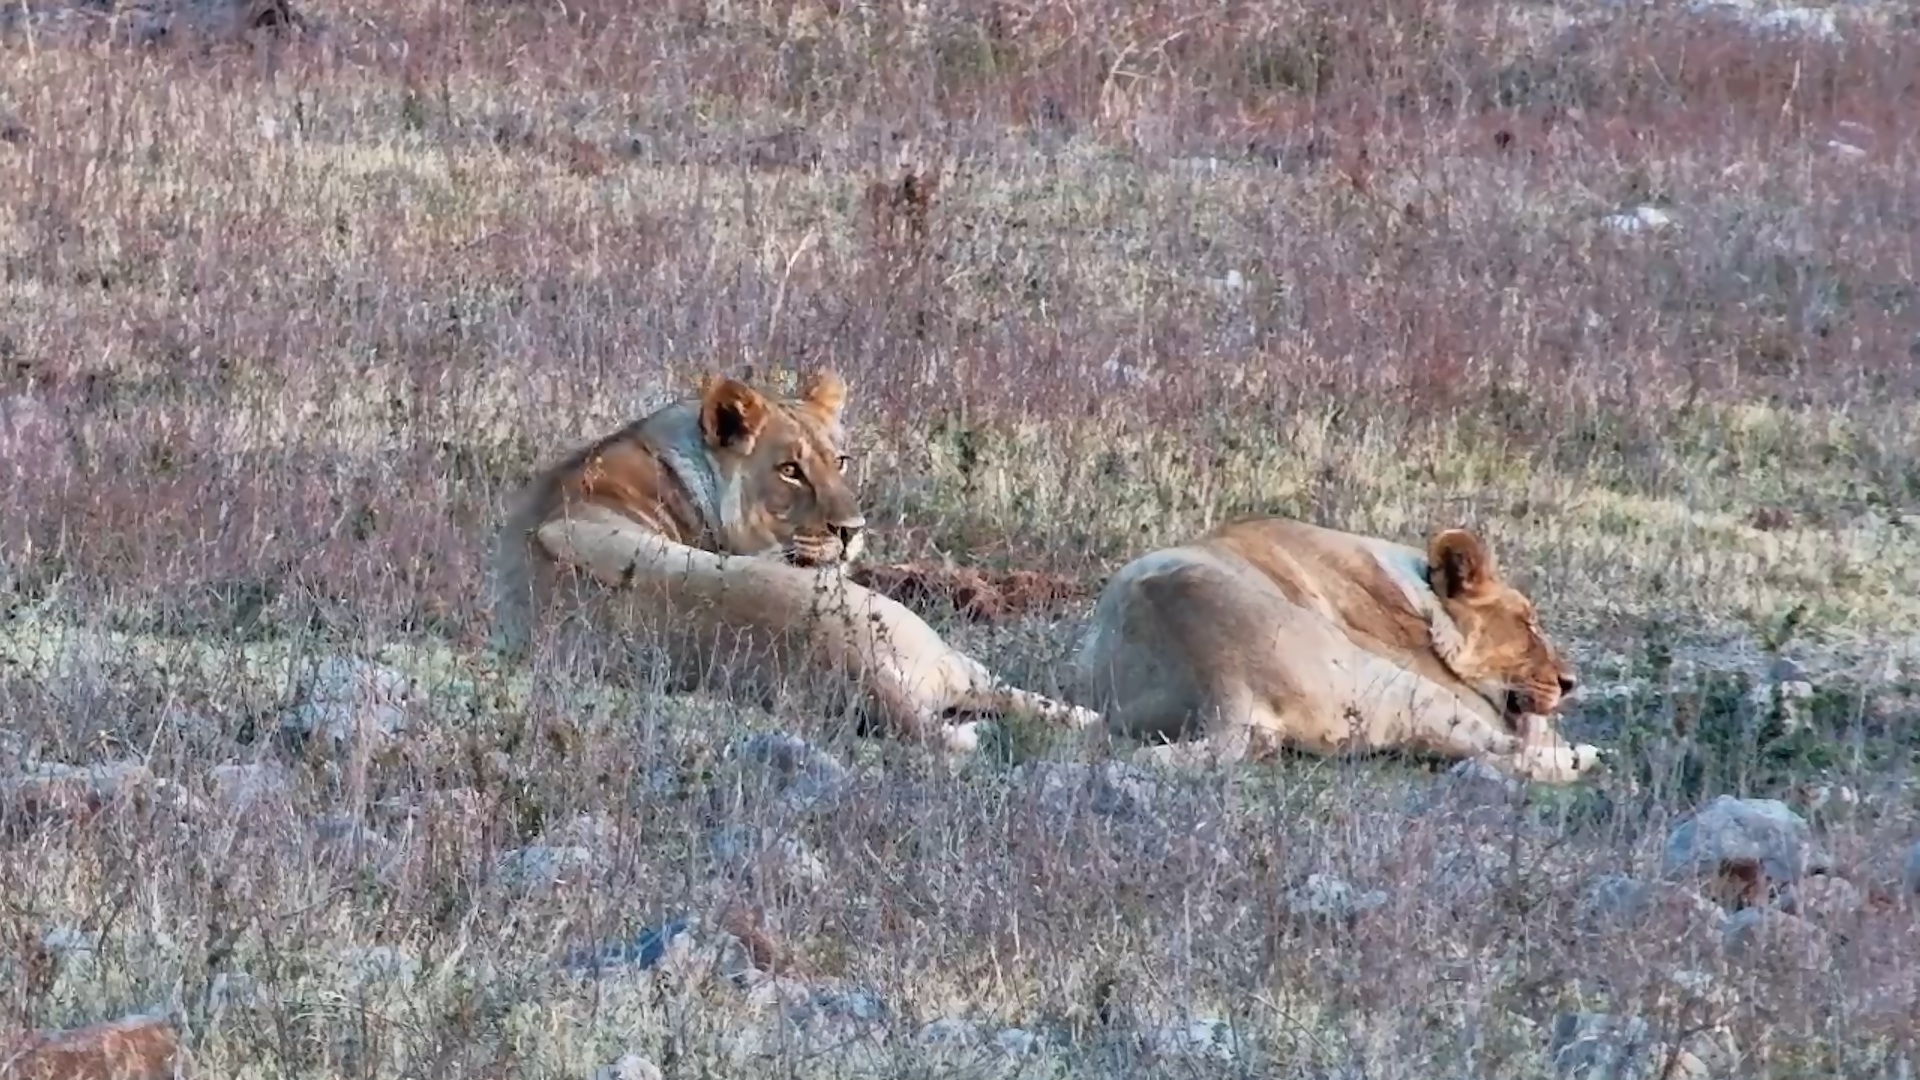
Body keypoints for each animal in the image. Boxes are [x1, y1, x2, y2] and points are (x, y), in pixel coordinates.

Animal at [1069, 516, 1602, 783]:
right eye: (1528, 624)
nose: (1570, 682)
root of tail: (1220, 679)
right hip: (1398, 687)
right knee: (1500, 750)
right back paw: (1582, 758)